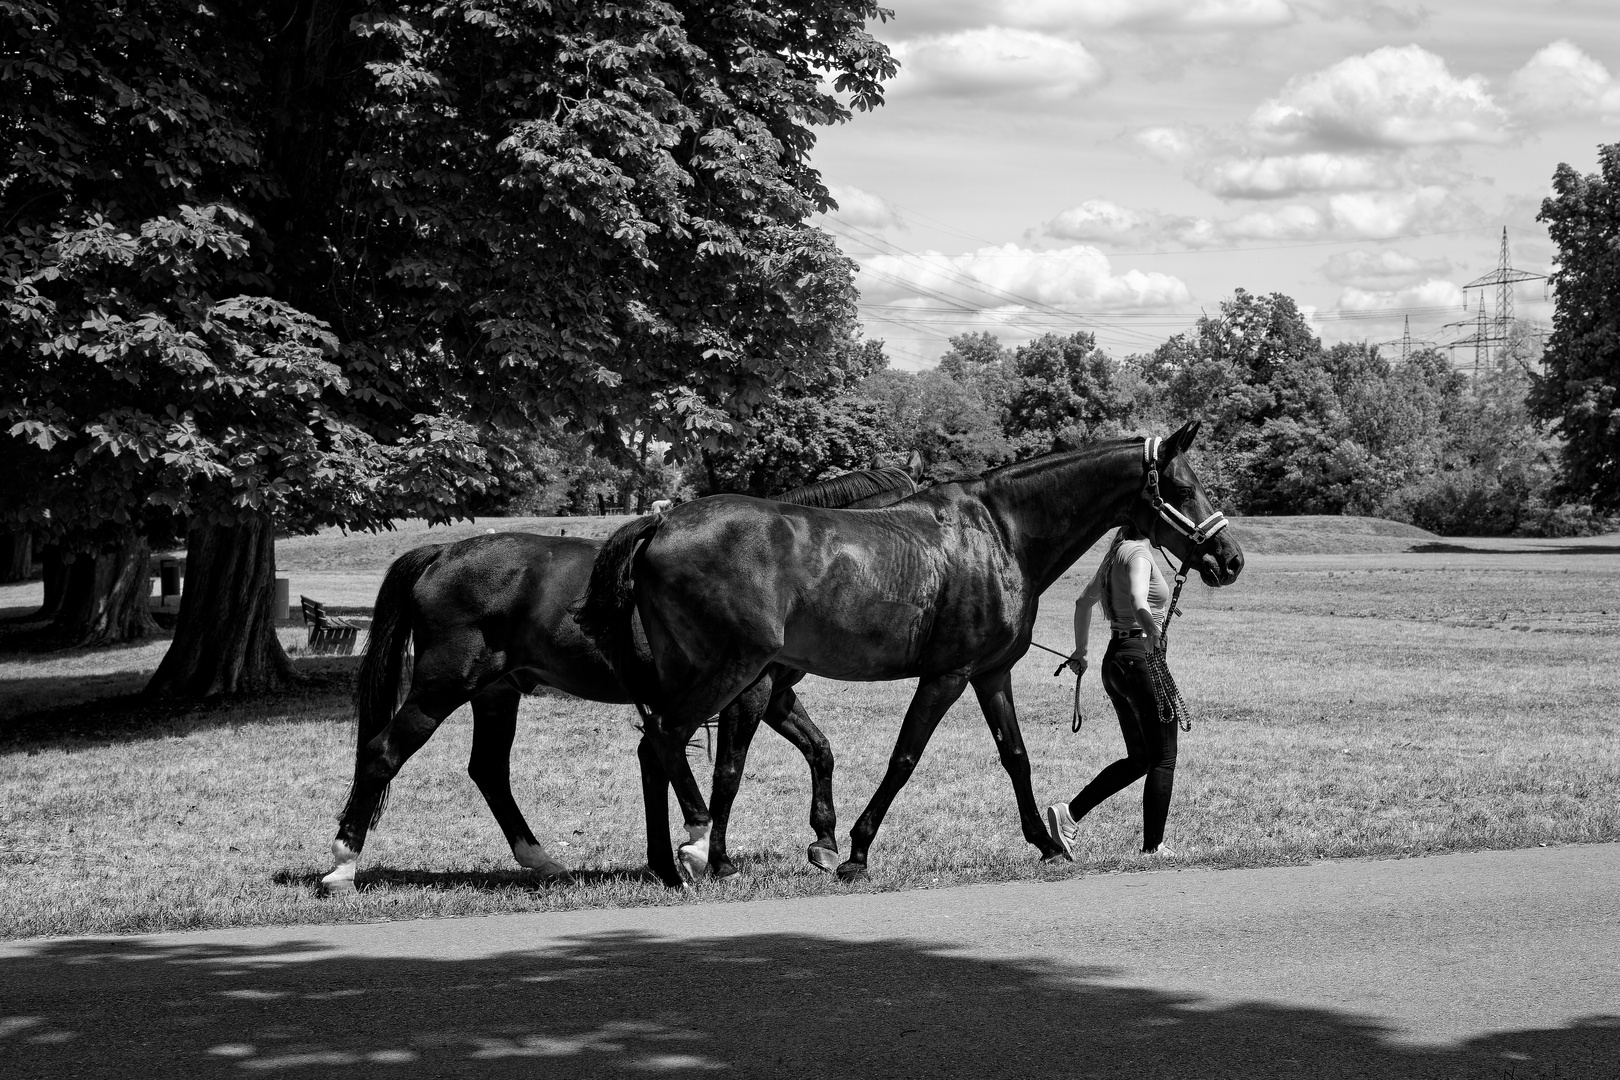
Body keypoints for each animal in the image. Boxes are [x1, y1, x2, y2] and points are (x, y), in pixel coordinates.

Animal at [320, 466, 920, 893]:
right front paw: (714, 859)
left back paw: (541, 860)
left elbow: (819, 749)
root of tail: (442, 551)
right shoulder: (750, 693)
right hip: (442, 686)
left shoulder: (775, 693)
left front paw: (823, 841)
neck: (795, 560)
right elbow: (727, 773)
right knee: (383, 753)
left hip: (496, 693)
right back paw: (343, 865)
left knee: (489, 770)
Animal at [576, 420, 1244, 887]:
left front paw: (1048, 843)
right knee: (669, 738)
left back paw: (669, 863)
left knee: (655, 747)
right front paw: (855, 853)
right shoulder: (945, 675)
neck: (1001, 533)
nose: (1230, 559)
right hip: (729, 671)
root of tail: (662, 524)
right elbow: (903, 758)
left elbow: (1016, 758)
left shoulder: (990, 674)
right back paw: (693, 851)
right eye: (1182, 486)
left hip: (698, 673)